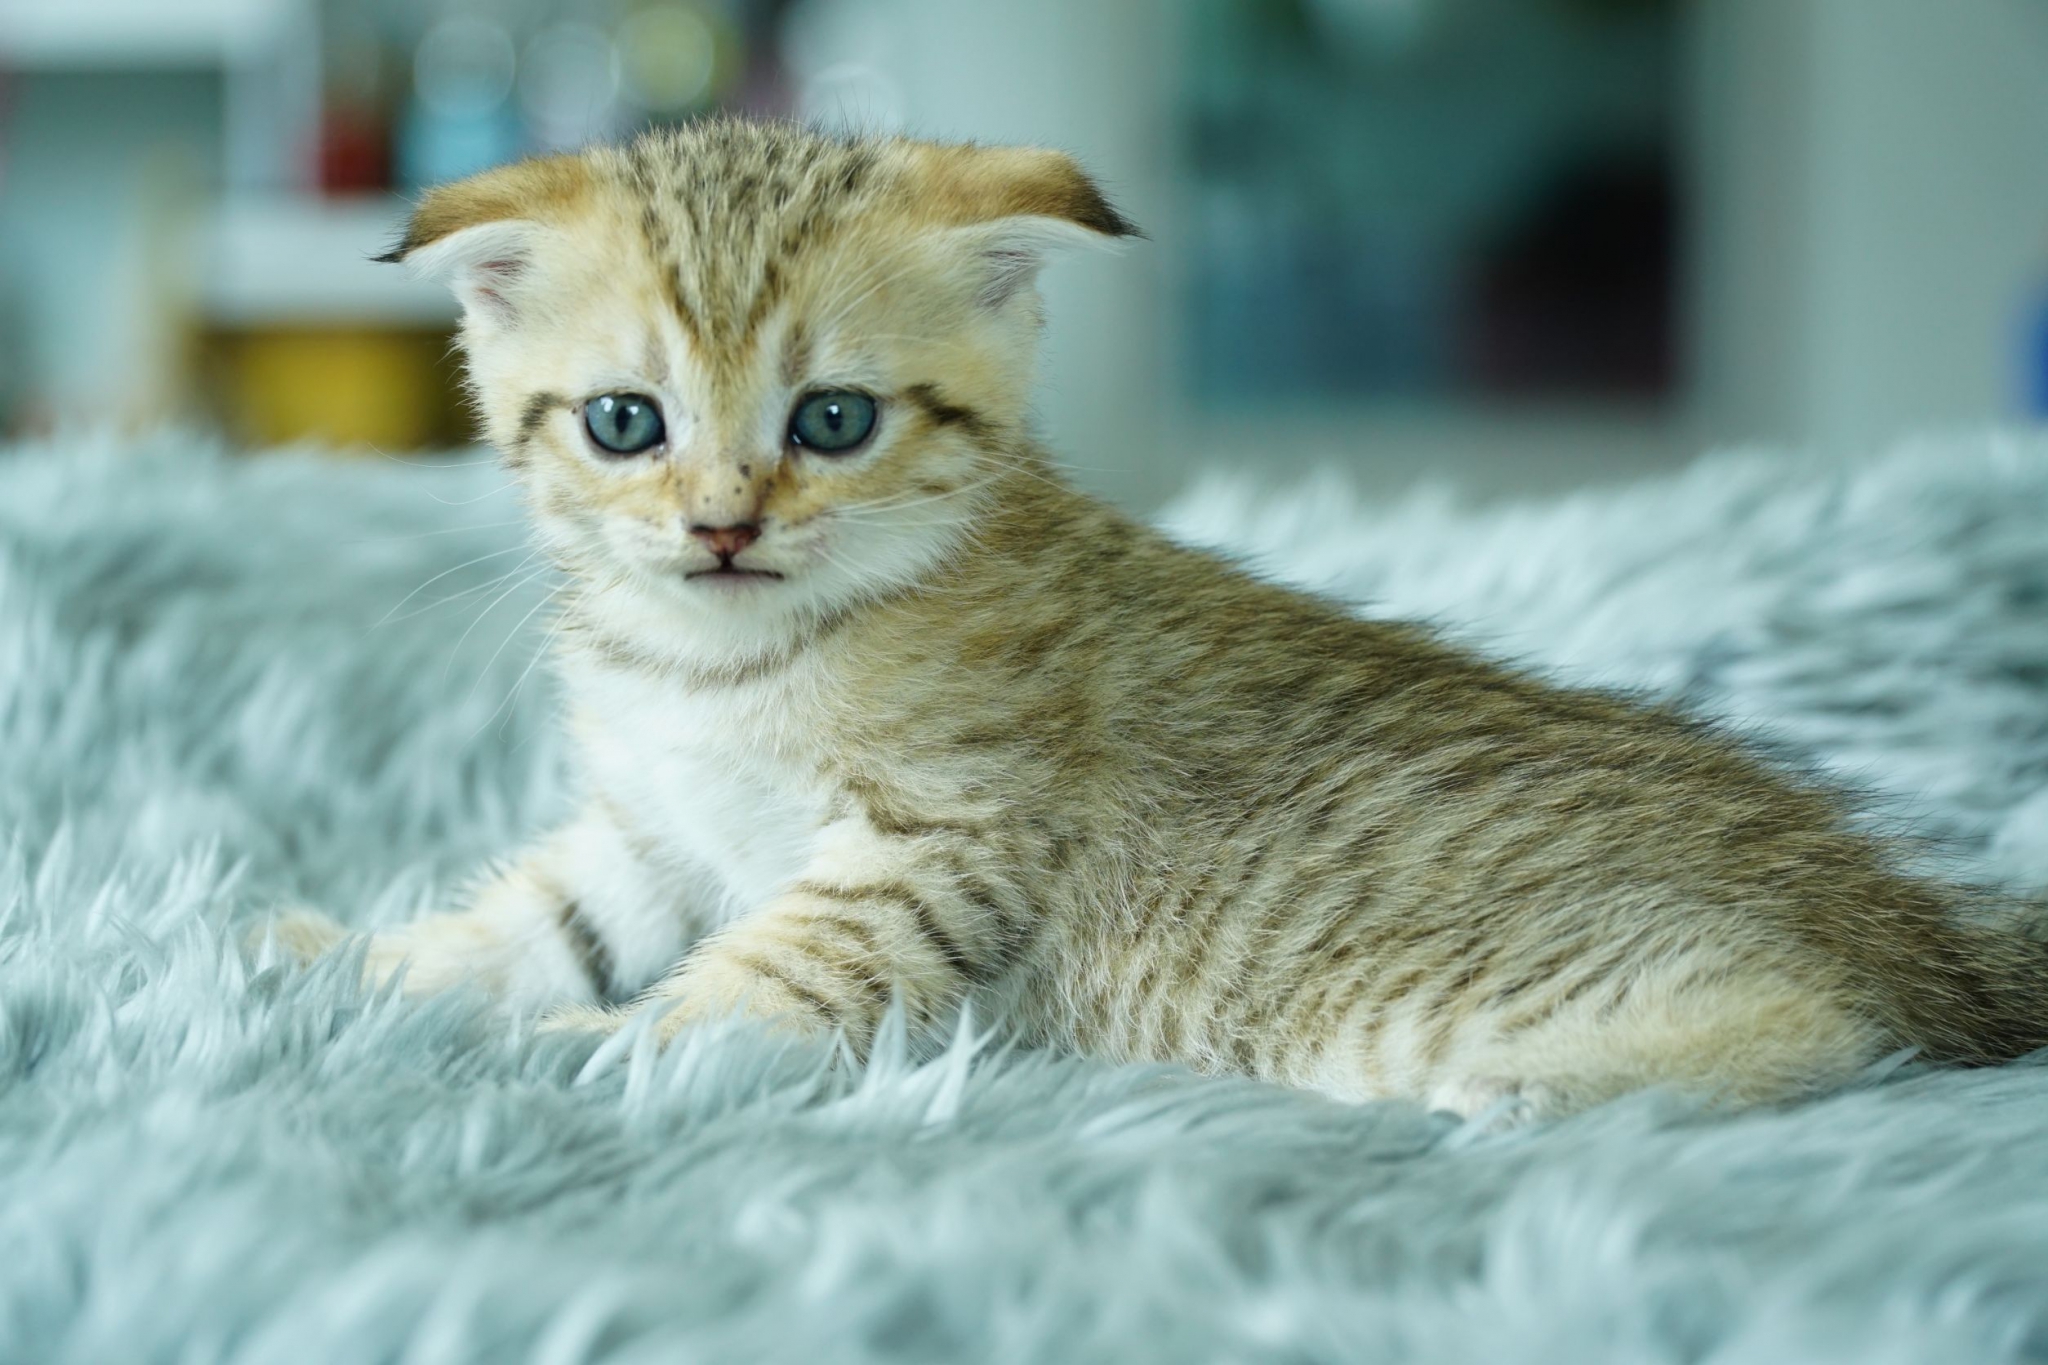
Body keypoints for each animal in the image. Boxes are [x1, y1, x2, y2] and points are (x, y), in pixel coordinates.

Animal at [265, 118, 2046, 1122]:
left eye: (834, 420)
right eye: (625, 423)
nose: (721, 524)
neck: (719, 667)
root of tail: (1902, 912)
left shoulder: (940, 842)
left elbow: (759, 973)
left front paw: (604, 1048)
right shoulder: (654, 830)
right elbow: (537, 919)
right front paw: (348, 960)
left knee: (1839, 1030)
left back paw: (1524, 1086)